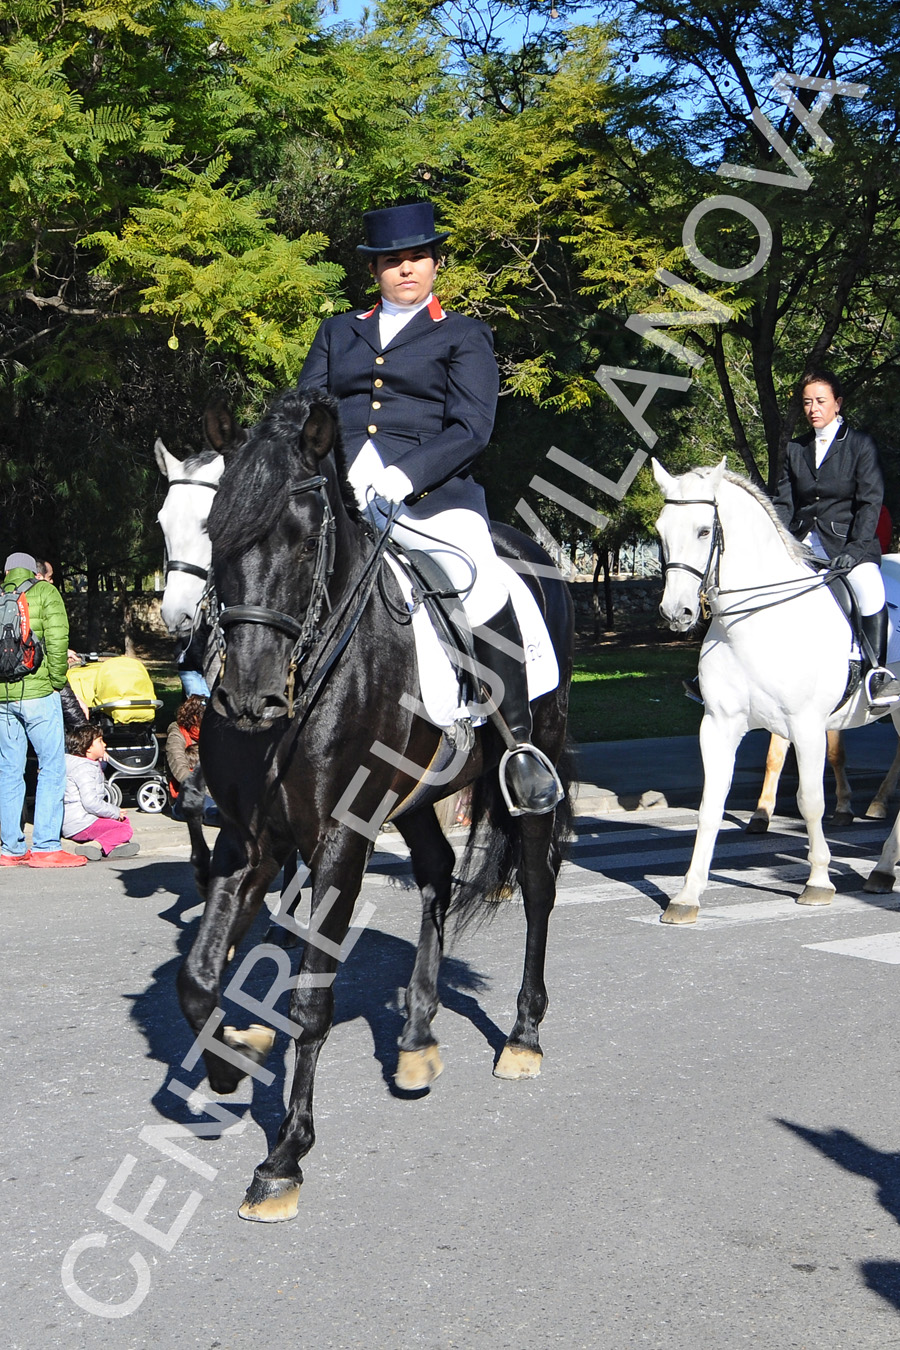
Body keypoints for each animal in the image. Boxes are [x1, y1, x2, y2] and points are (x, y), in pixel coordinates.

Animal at [176, 388, 574, 1225]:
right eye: (215, 534)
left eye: (303, 543)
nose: (249, 698)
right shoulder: (249, 841)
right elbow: (197, 977)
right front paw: (227, 1067)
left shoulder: (338, 841)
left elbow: (311, 999)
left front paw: (285, 1157)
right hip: (418, 795)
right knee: (435, 870)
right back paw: (418, 1036)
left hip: (534, 771)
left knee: (536, 888)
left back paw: (523, 1035)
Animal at [655, 459, 900, 923]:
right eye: (660, 531)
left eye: (703, 530)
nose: (677, 613)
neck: (753, 620)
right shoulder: (718, 726)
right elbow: (710, 807)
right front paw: (687, 894)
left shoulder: (806, 726)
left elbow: (810, 800)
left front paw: (818, 881)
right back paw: (882, 870)